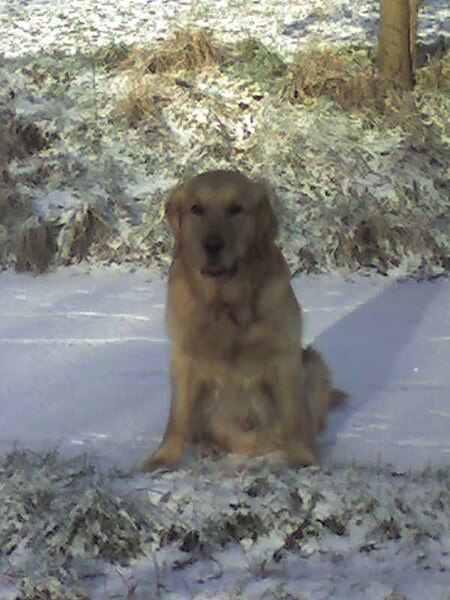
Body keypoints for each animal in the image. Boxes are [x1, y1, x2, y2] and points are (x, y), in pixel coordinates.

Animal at [141, 171, 342, 472]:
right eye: (196, 208)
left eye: (236, 209)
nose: (212, 245)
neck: (225, 302)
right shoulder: (184, 358)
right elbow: (177, 419)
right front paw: (163, 458)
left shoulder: (284, 356)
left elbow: (293, 417)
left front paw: (303, 458)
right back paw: (207, 446)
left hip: (314, 363)